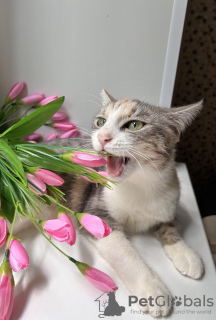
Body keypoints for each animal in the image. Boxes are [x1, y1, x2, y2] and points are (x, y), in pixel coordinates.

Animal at [13, 89, 204, 318]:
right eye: (101, 122)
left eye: (134, 125)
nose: (102, 137)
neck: (138, 185)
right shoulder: (97, 213)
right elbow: (125, 254)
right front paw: (152, 289)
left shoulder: (169, 198)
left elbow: (171, 224)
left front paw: (187, 254)